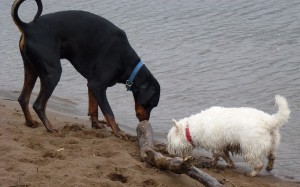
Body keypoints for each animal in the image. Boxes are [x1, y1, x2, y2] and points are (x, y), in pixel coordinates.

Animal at [10, 0, 161, 137]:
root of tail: (28, 27)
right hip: (52, 74)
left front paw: (96, 124)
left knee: (23, 98)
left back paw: (30, 122)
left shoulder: (91, 84)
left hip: (31, 69)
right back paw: (50, 127)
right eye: (150, 104)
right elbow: (109, 112)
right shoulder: (98, 85)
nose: (145, 121)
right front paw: (117, 131)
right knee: (38, 105)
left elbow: (94, 108)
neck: (126, 61)